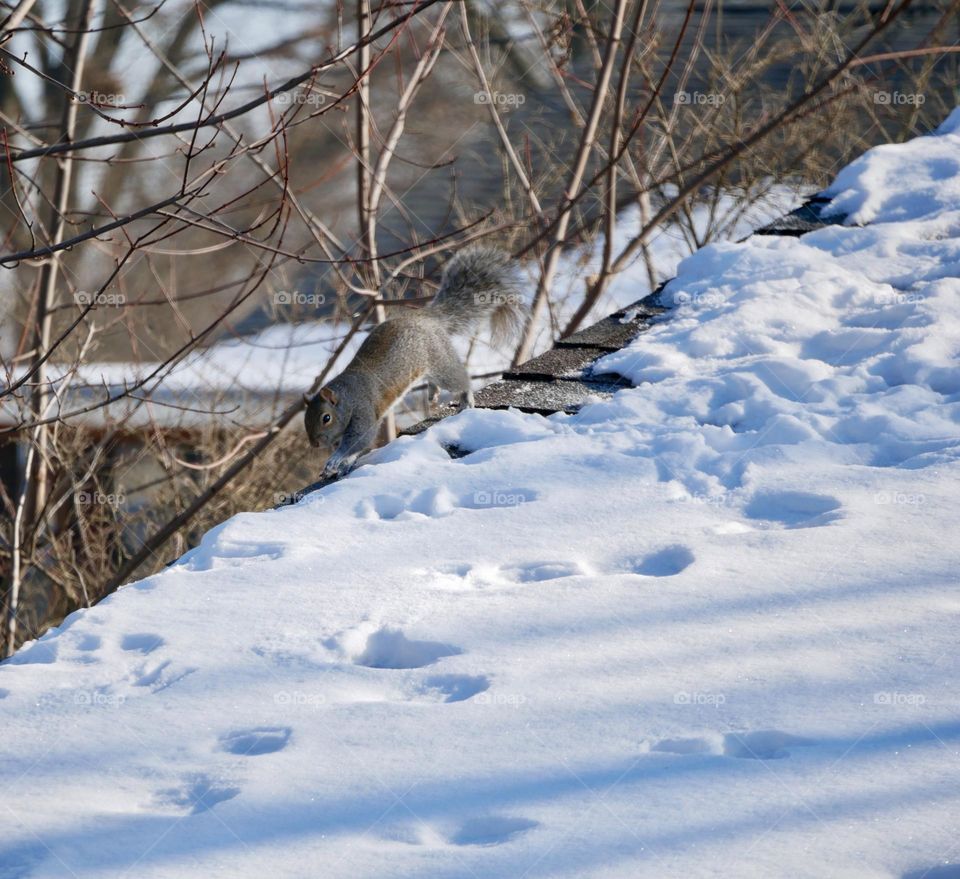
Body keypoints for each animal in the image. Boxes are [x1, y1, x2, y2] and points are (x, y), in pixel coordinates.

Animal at [304, 246, 525, 479]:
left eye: (326, 418)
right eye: (306, 418)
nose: (315, 443)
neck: (347, 397)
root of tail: (427, 317)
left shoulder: (363, 412)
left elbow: (359, 441)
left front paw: (336, 459)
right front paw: (342, 464)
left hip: (439, 361)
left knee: (459, 379)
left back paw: (465, 398)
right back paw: (433, 391)